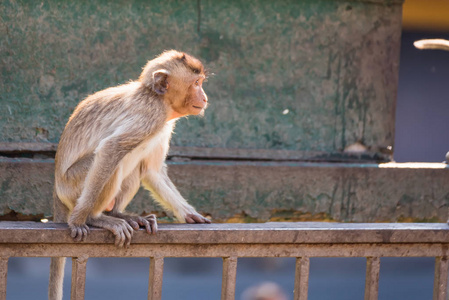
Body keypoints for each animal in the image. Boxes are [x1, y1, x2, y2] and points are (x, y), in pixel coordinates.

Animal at [48, 50, 213, 298]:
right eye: (196, 84)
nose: (204, 98)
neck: (158, 99)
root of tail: (57, 191)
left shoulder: (164, 125)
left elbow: (152, 170)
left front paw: (189, 214)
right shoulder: (151, 115)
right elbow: (110, 148)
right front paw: (79, 220)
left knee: (136, 165)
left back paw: (120, 214)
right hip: (73, 185)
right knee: (115, 161)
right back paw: (95, 217)